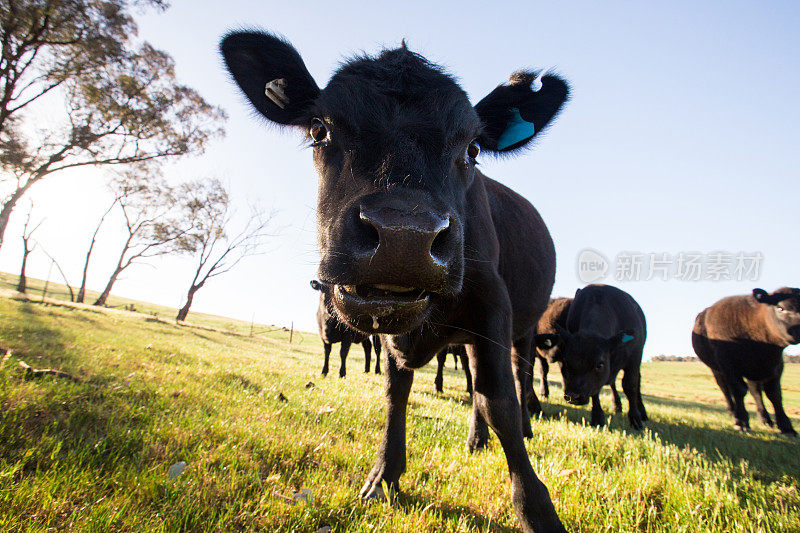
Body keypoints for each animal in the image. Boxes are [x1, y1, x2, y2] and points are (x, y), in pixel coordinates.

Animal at [222, 32, 564, 532]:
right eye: (319, 129)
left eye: (473, 149)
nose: (404, 237)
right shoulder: (385, 325)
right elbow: (394, 390)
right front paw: (384, 475)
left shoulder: (492, 303)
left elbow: (498, 398)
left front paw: (537, 509)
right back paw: (475, 440)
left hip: (523, 326)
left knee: (514, 379)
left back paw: (524, 427)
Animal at [536, 282, 648, 428]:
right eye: (567, 362)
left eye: (599, 365)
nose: (573, 396)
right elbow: (595, 390)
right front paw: (598, 417)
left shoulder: (634, 358)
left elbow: (630, 385)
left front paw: (635, 419)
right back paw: (616, 406)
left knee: (636, 381)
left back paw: (642, 412)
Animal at [692, 286, 796, 432]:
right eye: (781, 308)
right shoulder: (728, 364)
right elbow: (739, 390)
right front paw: (741, 422)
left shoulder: (776, 365)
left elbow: (774, 394)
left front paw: (786, 427)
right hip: (716, 369)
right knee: (725, 389)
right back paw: (733, 412)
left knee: (755, 391)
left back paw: (765, 419)